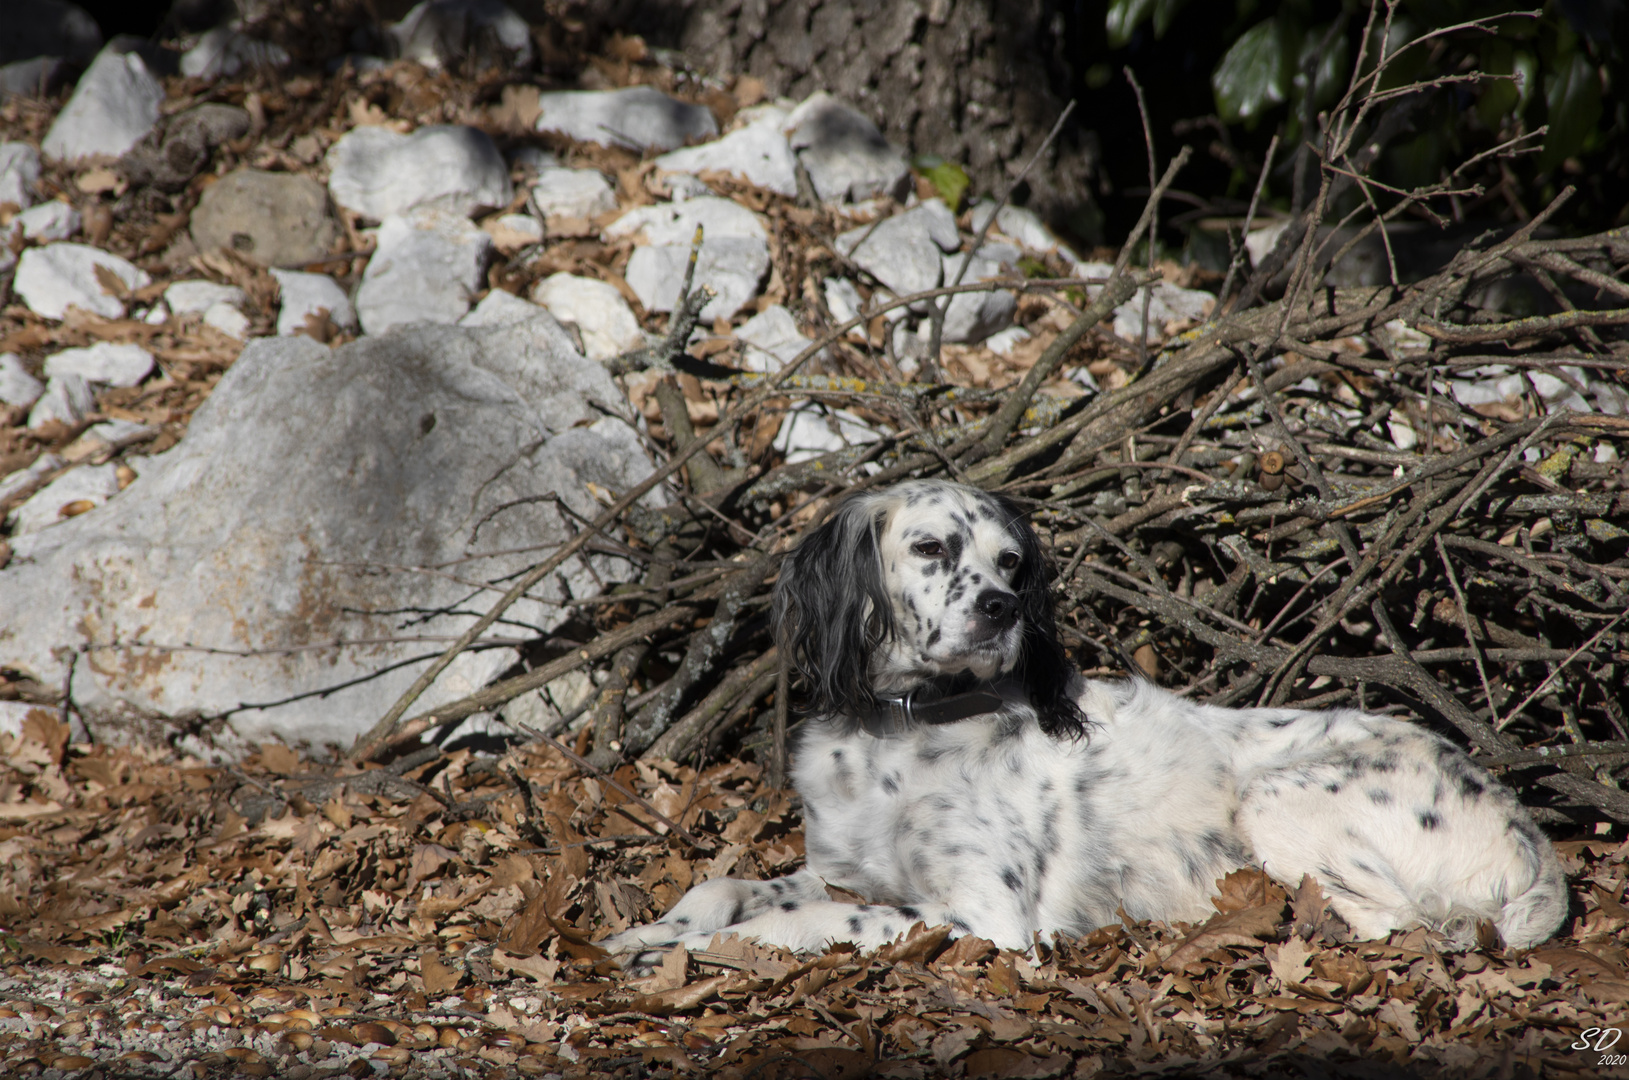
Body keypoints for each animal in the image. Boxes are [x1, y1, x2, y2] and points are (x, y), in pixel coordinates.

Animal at [605, 482, 1570, 964]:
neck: (907, 730)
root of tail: (1533, 839)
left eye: (1009, 563)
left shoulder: (985, 917)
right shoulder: (844, 873)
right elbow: (724, 888)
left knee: (1403, 927)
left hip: (1278, 798)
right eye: (929, 548)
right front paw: (644, 933)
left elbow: (797, 926)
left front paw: (687, 955)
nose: (998, 608)